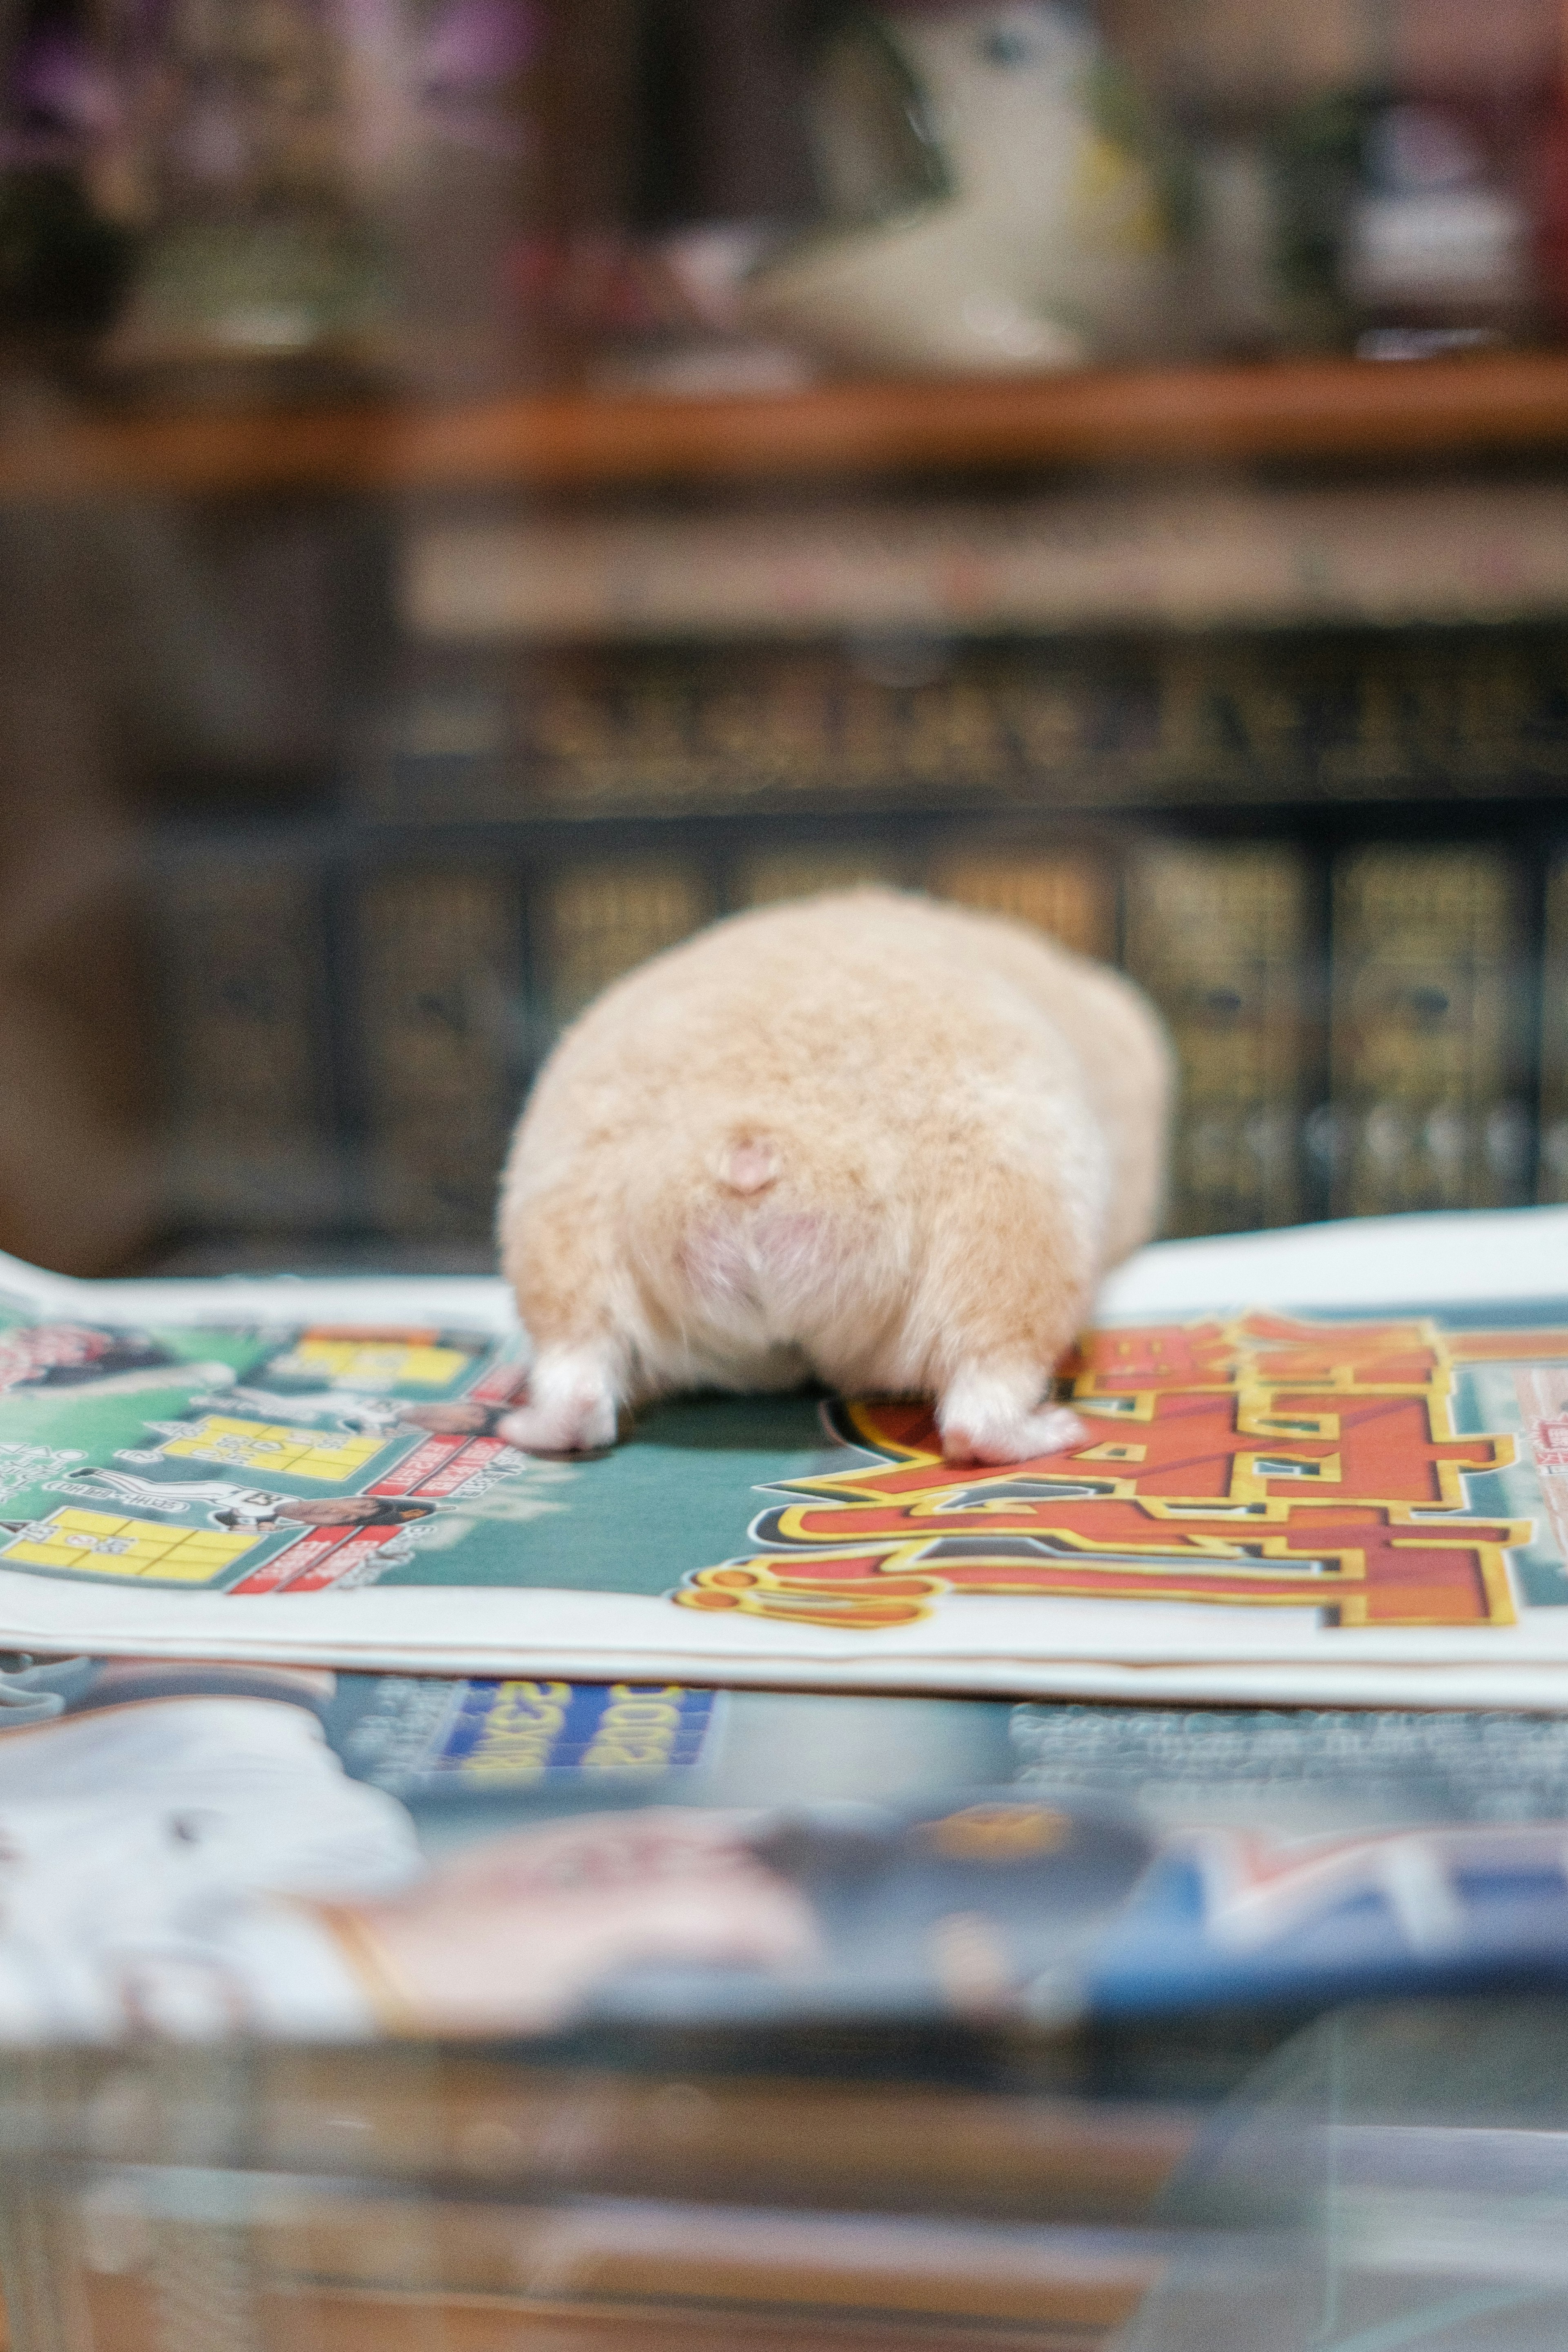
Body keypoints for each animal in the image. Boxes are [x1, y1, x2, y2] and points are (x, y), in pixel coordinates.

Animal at [496, 889, 1171, 1458]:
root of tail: (750, 1151)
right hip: (1010, 1247)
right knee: (979, 1412)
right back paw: (1063, 1431)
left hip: (566, 1248)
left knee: (577, 1388)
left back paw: (517, 1427)